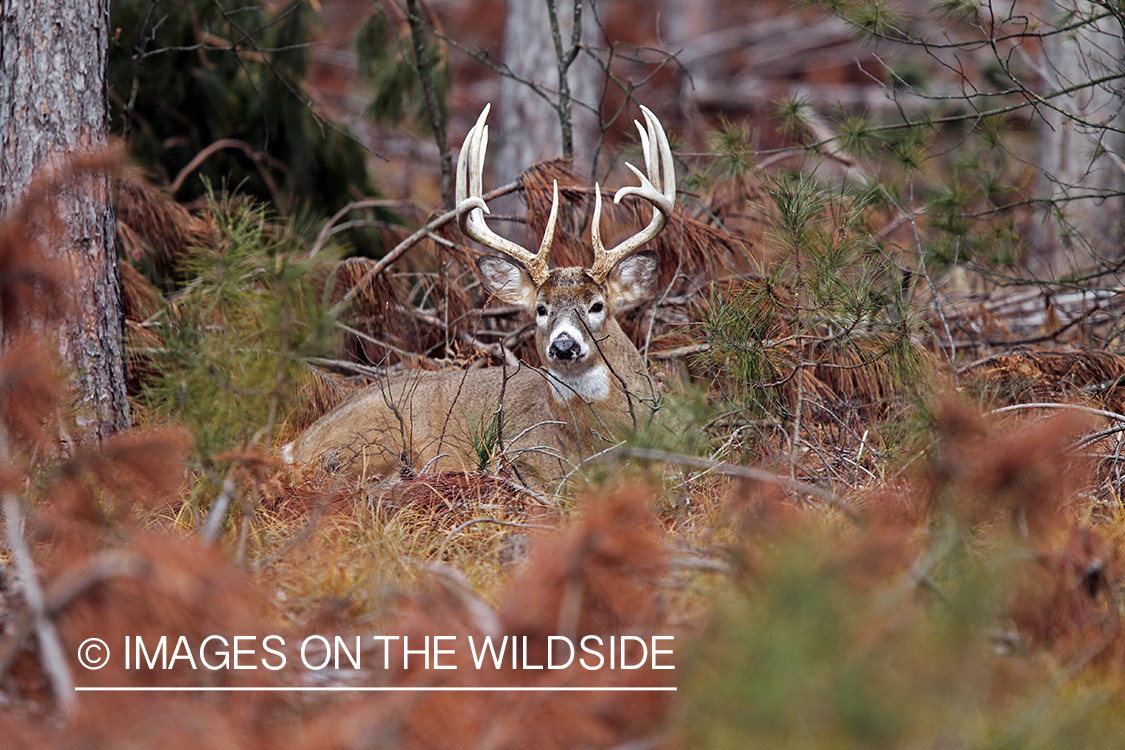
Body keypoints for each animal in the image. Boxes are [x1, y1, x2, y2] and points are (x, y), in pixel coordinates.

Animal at [285, 104, 675, 492]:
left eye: (597, 306)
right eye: (541, 309)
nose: (564, 345)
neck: (592, 446)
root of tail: (296, 445)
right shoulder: (517, 456)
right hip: (376, 434)